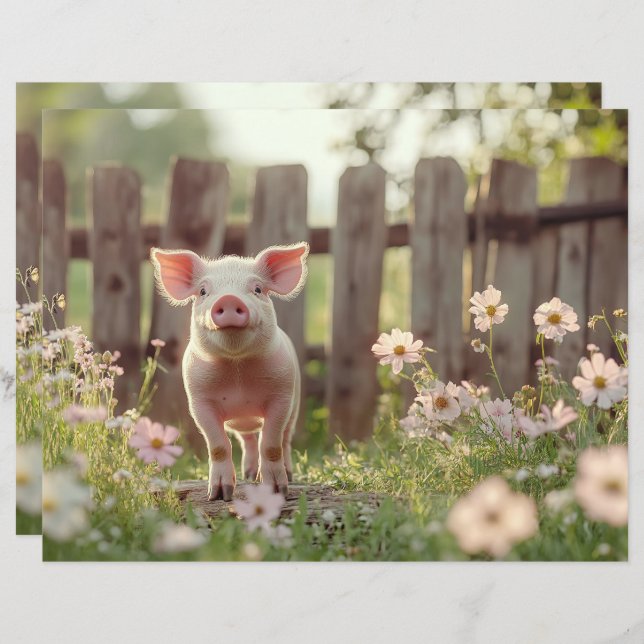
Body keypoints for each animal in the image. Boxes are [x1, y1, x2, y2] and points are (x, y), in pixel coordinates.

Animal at [150, 242, 309, 501]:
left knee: (284, 440)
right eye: (203, 291)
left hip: (295, 406)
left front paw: (277, 492)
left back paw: (287, 475)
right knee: (248, 440)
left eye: (257, 289)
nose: (229, 298)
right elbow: (218, 446)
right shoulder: (199, 401)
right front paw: (218, 496)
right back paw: (249, 474)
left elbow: (271, 445)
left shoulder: (282, 395)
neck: (237, 369)